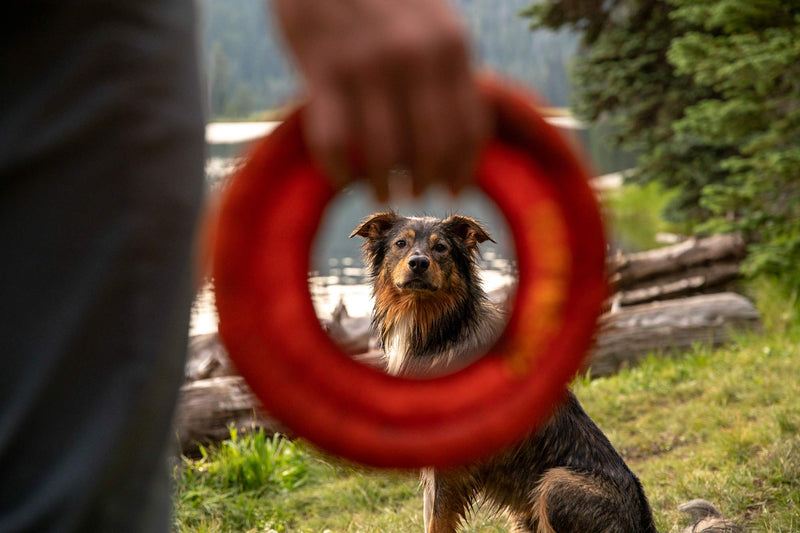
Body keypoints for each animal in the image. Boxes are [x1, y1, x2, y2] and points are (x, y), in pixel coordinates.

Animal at [354, 211, 740, 532]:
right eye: (401, 244)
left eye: (441, 248)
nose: (418, 263)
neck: (438, 329)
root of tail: (644, 527)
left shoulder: (449, 467)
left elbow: (435, 522)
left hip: (555, 484)